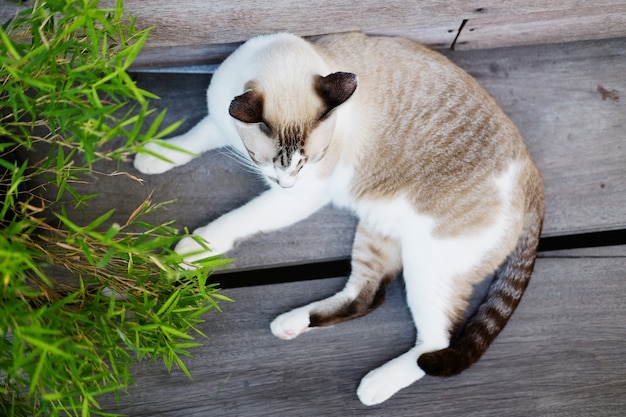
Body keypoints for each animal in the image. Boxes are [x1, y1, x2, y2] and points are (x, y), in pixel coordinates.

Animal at [132, 33, 540, 406]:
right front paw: (151, 157)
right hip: (378, 230)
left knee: (434, 343)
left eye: (309, 162)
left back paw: (376, 385)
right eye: (265, 160)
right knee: (366, 296)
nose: (284, 183)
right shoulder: (220, 121)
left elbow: (236, 220)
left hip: (429, 265)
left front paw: (190, 250)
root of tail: (532, 173)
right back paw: (291, 324)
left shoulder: (302, 197)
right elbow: (188, 142)